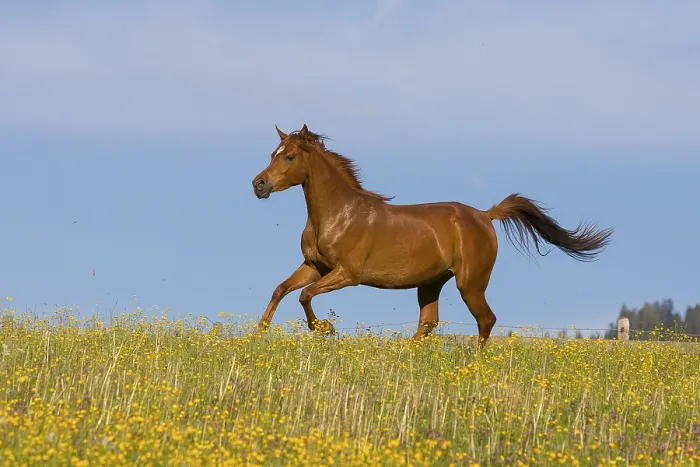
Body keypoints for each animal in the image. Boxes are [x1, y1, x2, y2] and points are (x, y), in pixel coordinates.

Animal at [251, 124, 613, 346]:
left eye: (289, 156)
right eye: (272, 153)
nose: (259, 184)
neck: (339, 214)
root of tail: (485, 215)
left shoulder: (347, 274)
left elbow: (304, 295)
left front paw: (324, 329)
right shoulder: (315, 266)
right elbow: (282, 289)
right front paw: (259, 333)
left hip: (470, 283)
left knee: (486, 319)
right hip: (431, 283)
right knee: (427, 324)